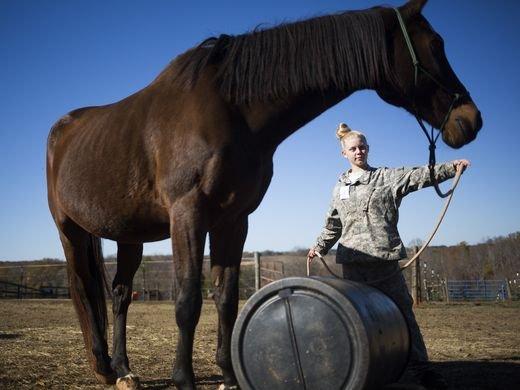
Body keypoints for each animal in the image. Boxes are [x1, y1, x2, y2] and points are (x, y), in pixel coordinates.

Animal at [46, 0, 482, 388]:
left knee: (120, 295)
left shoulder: (233, 220)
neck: (230, 111)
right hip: (70, 230)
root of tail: (62, 128)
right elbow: (187, 300)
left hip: (129, 235)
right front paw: (184, 380)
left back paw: (124, 371)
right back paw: (104, 367)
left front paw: (227, 377)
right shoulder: (188, 216)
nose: (471, 120)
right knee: (84, 289)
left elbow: (225, 298)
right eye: (436, 44)